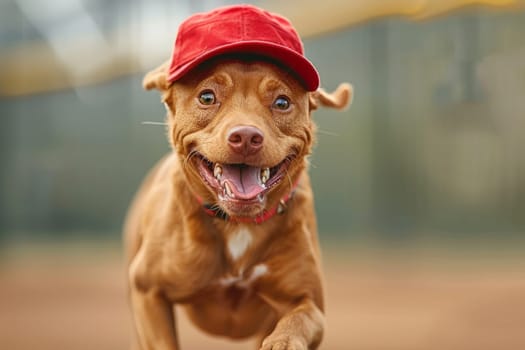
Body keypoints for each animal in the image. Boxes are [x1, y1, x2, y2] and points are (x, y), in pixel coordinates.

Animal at [124, 4, 350, 350]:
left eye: (282, 102)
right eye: (207, 97)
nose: (245, 137)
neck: (237, 226)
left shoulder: (309, 301)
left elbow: (298, 320)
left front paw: (282, 342)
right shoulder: (147, 290)